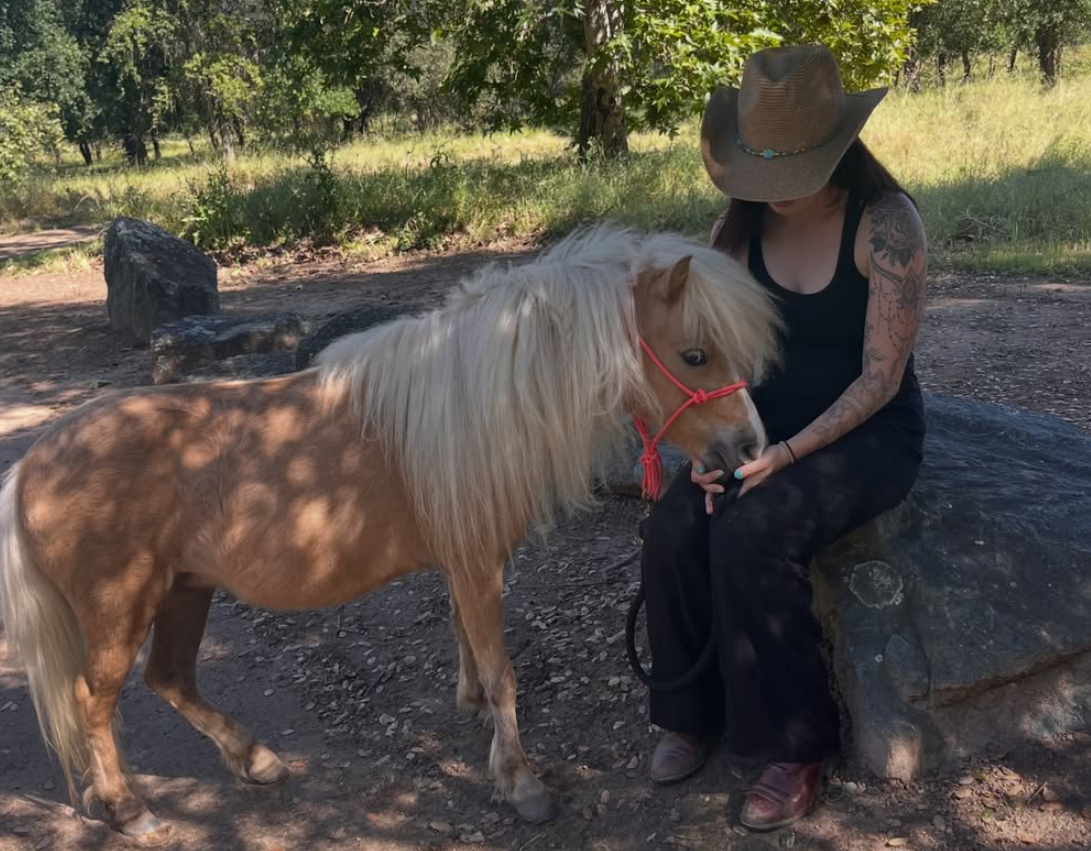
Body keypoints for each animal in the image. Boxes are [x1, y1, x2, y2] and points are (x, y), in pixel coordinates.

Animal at [0, 223, 782, 838]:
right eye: (694, 355)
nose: (749, 447)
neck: (481, 401)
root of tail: (32, 464)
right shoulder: (474, 561)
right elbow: (501, 670)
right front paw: (520, 781)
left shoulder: (466, 564)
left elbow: (468, 641)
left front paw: (474, 713)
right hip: (122, 608)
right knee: (94, 700)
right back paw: (129, 808)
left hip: (185, 591)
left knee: (169, 678)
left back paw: (256, 759)